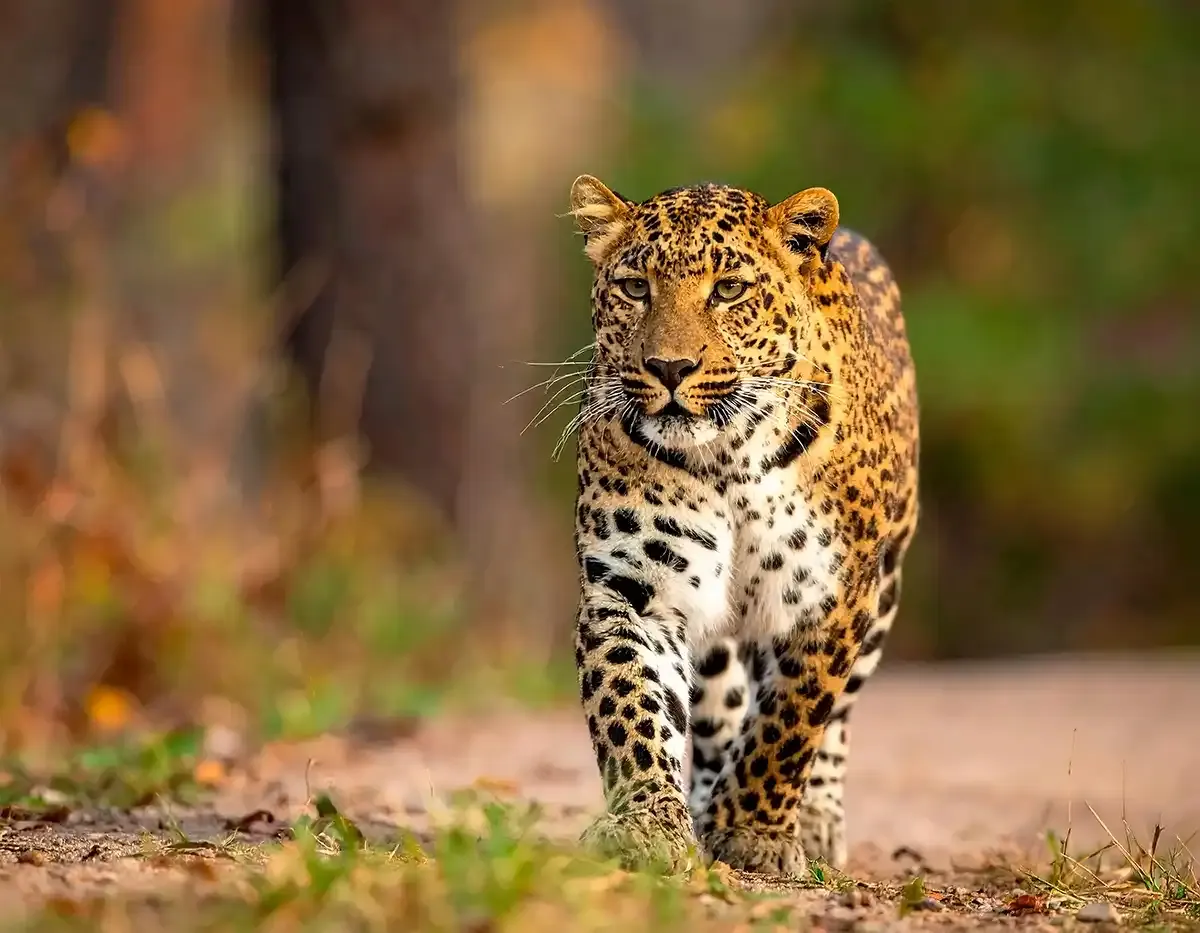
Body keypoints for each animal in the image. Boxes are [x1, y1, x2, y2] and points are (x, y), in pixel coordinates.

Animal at [566, 174, 919, 876]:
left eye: (728, 290)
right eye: (635, 287)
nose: (669, 368)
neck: (728, 455)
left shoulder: (831, 597)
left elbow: (791, 722)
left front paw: (753, 831)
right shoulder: (633, 588)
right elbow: (631, 705)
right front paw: (648, 825)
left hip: (884, 593)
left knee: (836, 722)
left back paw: (814, 823)